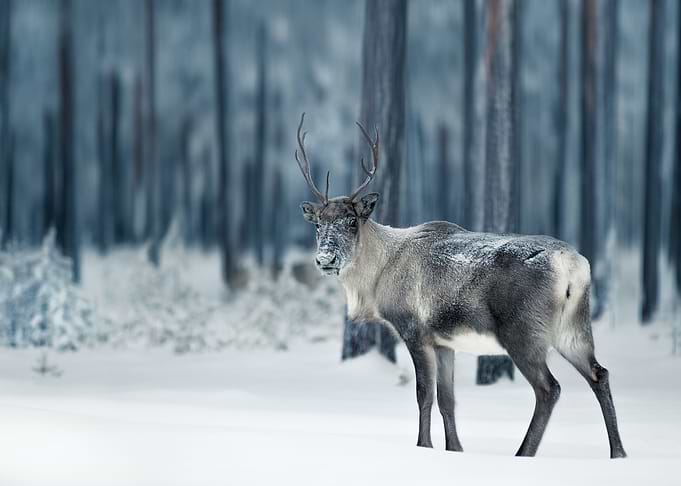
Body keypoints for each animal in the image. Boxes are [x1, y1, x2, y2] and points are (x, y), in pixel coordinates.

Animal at [294, 113, 626, 459]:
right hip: (573, 328)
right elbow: (448, 399)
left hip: (523, 332)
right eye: (318, 224)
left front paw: (424, 445)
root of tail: (573, 266)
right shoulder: (445, 342)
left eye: (351, 221)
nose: (325, 258)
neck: (377, 278)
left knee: (549, 388)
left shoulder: (414, 330)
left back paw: (524, 452)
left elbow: (424, 395)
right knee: (599, 373)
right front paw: (455, 449)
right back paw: (618, 452)